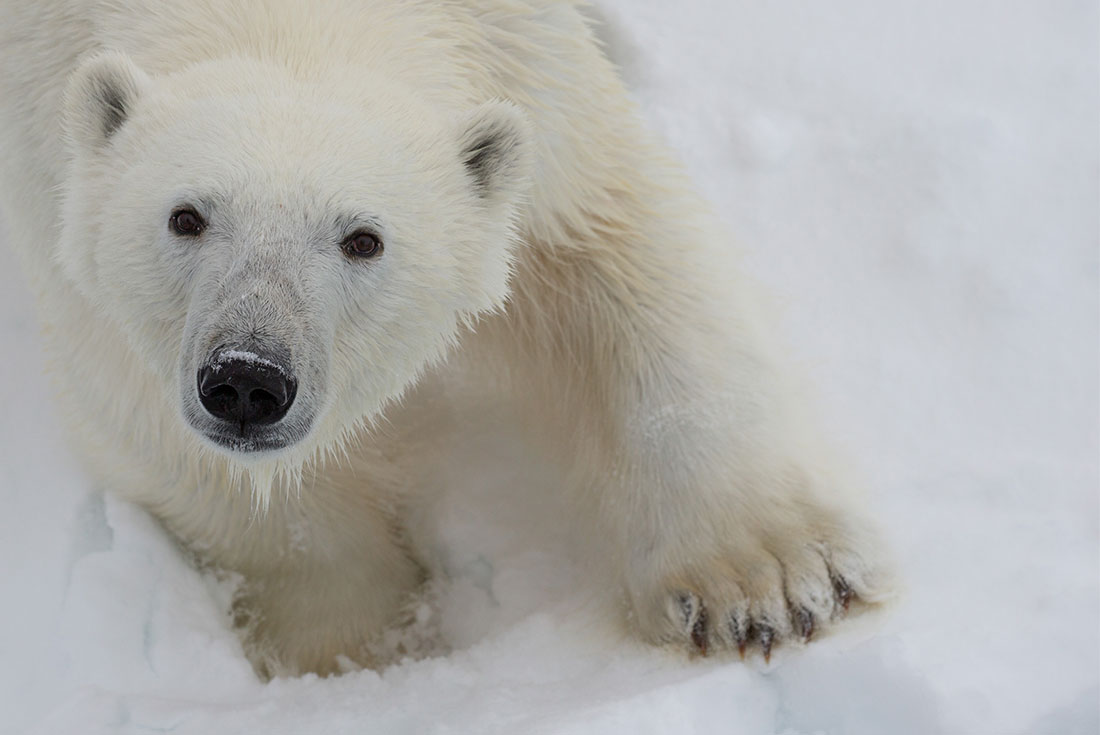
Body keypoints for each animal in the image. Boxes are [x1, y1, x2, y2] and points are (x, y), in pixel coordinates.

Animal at [0, 0, 893, 677]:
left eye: (363, 238)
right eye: (186, 216)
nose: (249, 378)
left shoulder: (531, 69)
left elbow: (625, 261)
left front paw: (770, 583)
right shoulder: (49, 169)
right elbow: (157, 426)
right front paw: (356, 649)